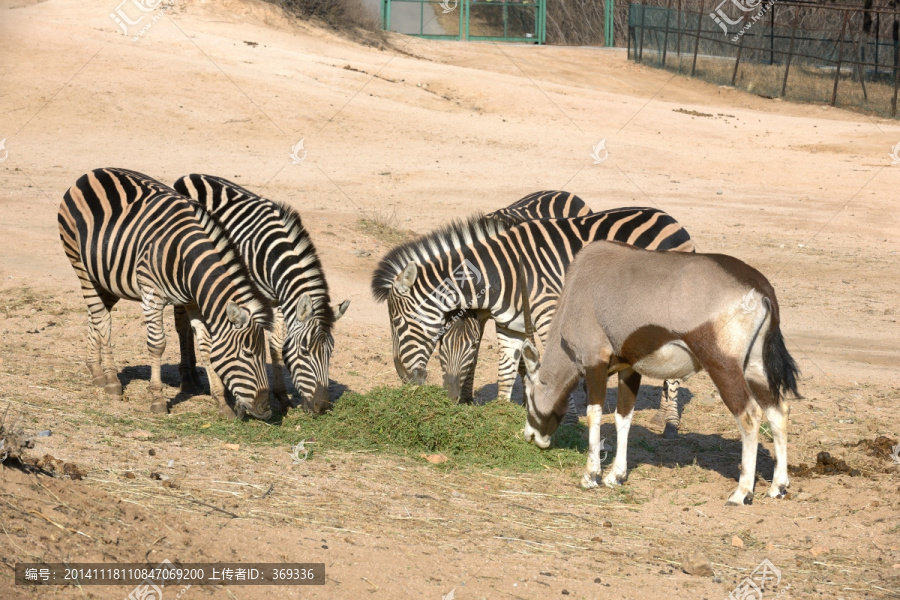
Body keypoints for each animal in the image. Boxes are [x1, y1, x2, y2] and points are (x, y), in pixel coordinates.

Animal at [57, 166, 272, 420]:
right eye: (248, 354)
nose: (266, 410)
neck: (186, 258)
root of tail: (91, 173)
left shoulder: (194, 301)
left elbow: (206, 346)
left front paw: (222, 403)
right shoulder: (152, 295)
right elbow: (157, 344)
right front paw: (158, 399)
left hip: (107, 277)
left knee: (95, 315)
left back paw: (95, 370)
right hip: (81, 265)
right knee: (102, 321)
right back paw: (110, 379)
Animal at [171, 176, 350, 414]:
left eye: (330, 352)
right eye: (304, 351)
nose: (321, 407)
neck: (273, 254)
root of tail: (188, 176)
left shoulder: (279, 301)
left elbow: (276, 345)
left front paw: (282, 397)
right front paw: (238, 399)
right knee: (182, 326)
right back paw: (187, 379)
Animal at [520, 241, 800, 504]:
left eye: (528, 395)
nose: (530, 436)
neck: (577, 288)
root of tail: (761, 289)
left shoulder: (594, 363)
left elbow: (594, 415)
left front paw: (591, 476)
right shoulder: (629, 369)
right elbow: (623, 416)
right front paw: (616, 475)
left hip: (723, 366)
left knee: (749, 415)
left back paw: (741, 493)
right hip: (755, 368)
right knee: (778, 411)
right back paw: (778, 487)